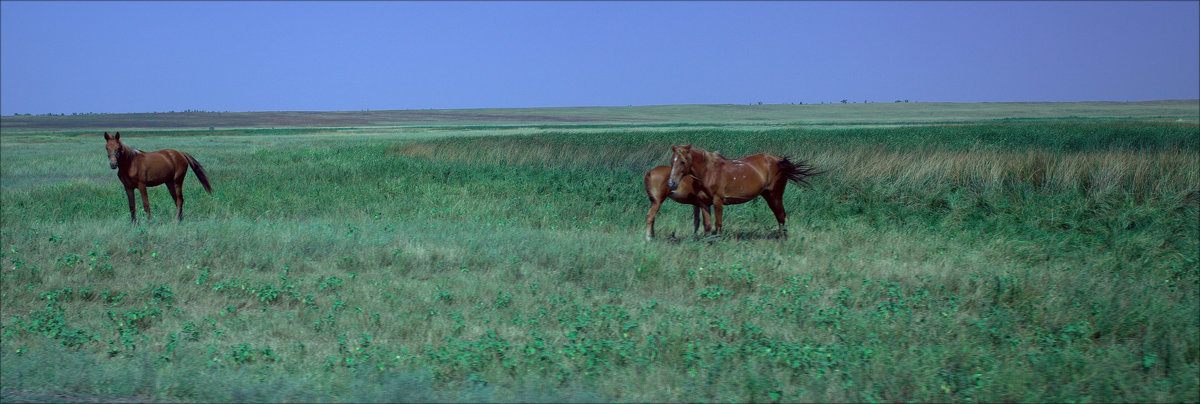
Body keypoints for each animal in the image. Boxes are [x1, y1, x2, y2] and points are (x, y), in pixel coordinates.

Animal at [667, 143, 825, 239]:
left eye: (682, 161)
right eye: (671, 161)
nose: (671, 183)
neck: (708, 172)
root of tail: (779, 161)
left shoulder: (718, 202)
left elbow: (718, 224)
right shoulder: (703, 203)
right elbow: (707, 226)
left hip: (775, 195)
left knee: (781, 215)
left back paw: (782, 239)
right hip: (768, 195)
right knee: (779, 215)